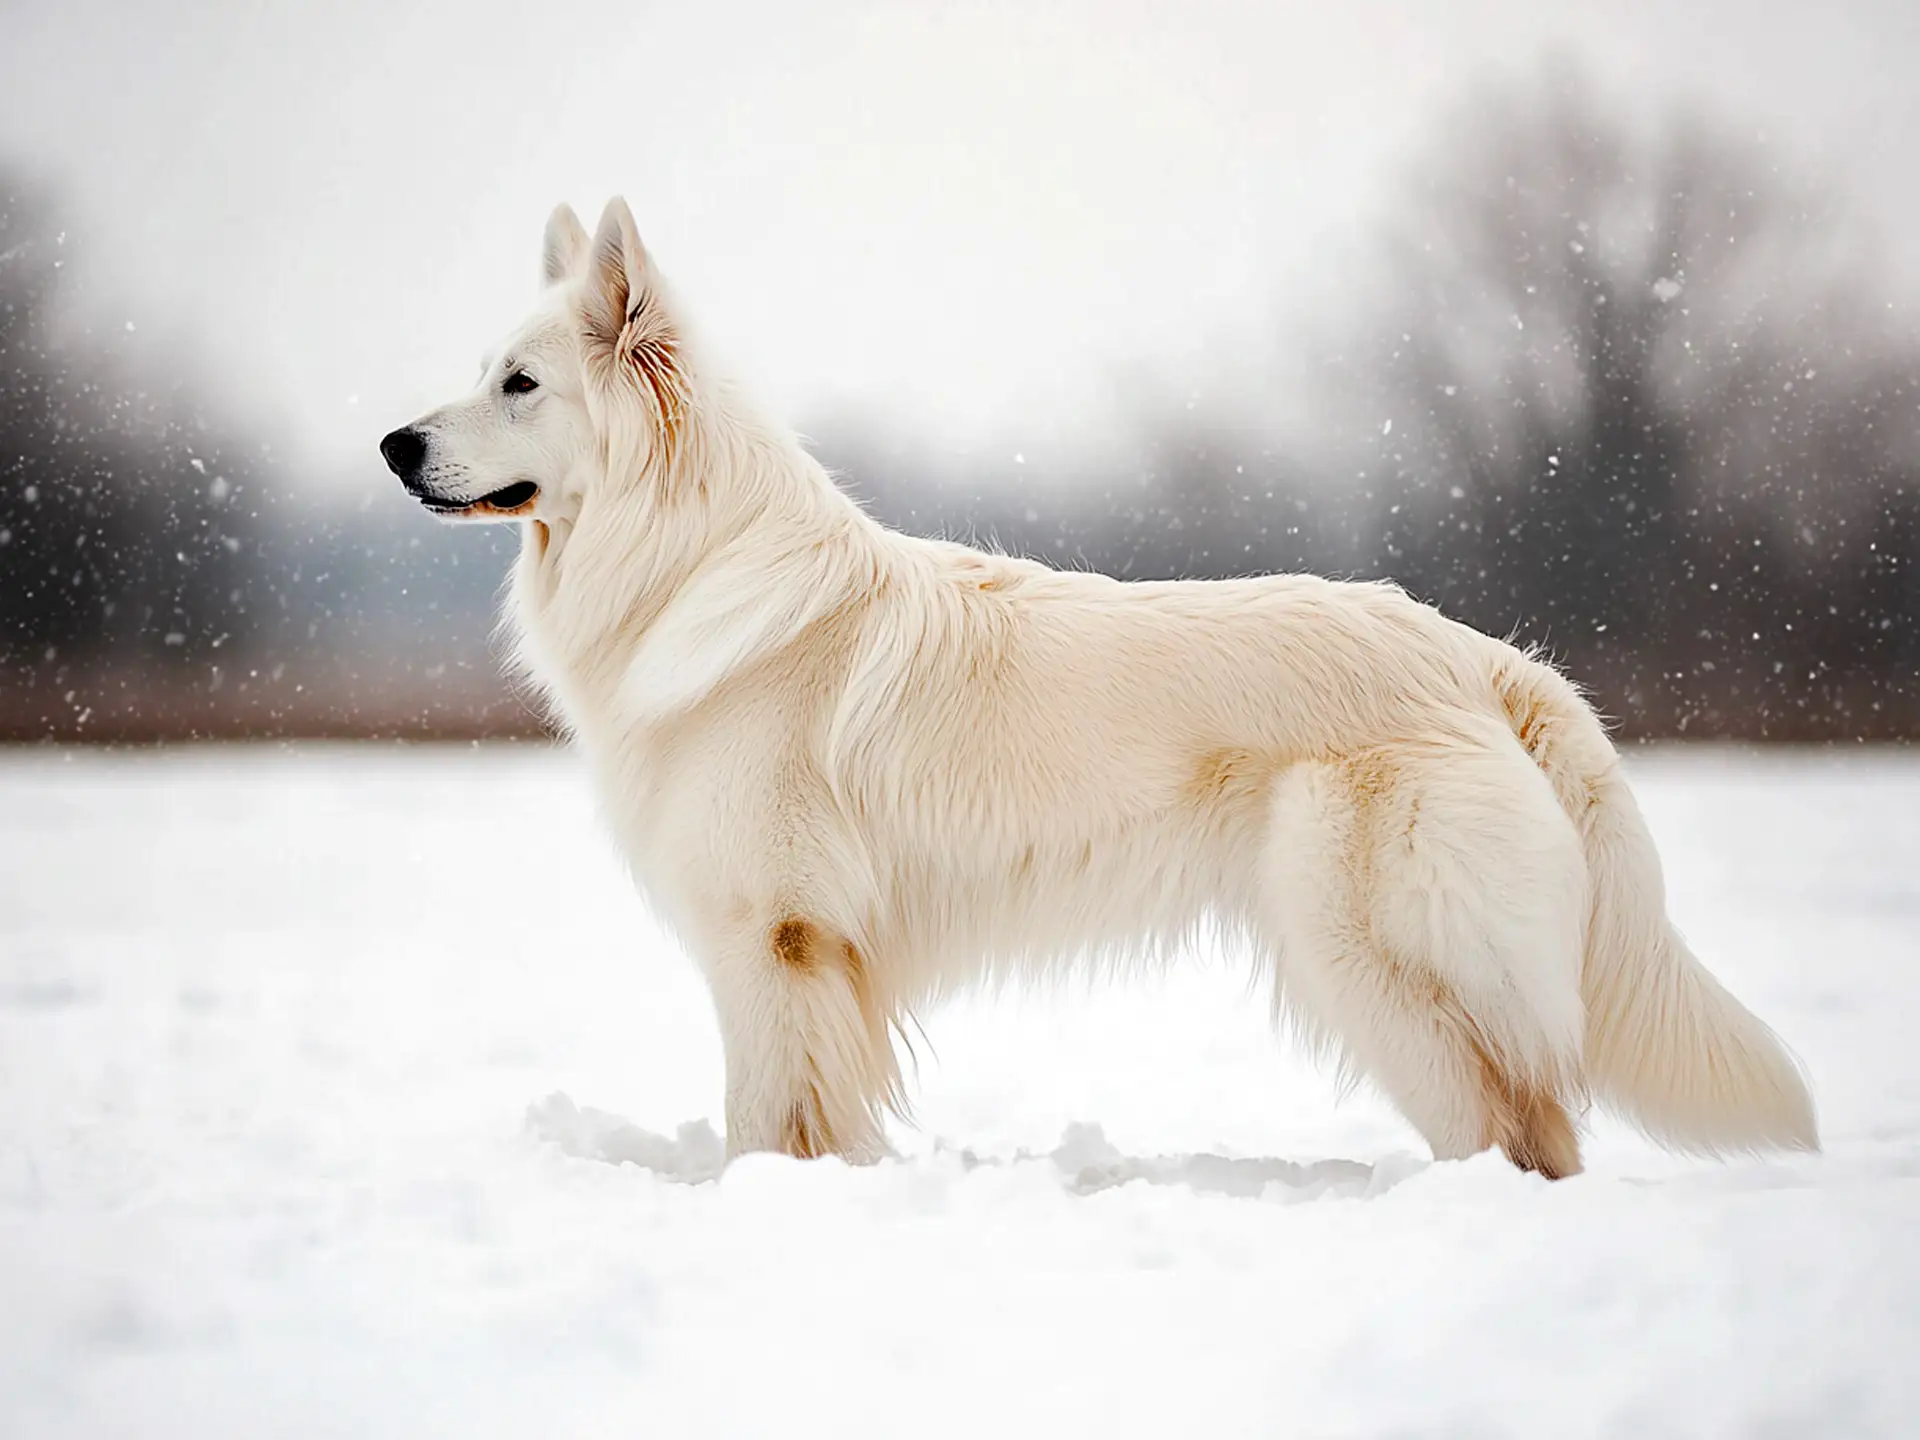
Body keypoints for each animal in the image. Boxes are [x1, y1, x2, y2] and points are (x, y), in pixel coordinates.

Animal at [382, 197, 1820, 1175]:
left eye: (519, 384)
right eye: (481, 375)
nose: (392, 444)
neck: (688, 562)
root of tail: (1485, 657)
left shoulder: (774, 937)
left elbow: (764, 1120)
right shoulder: (809, 955)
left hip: (1365, 958)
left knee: (1513, 1126)